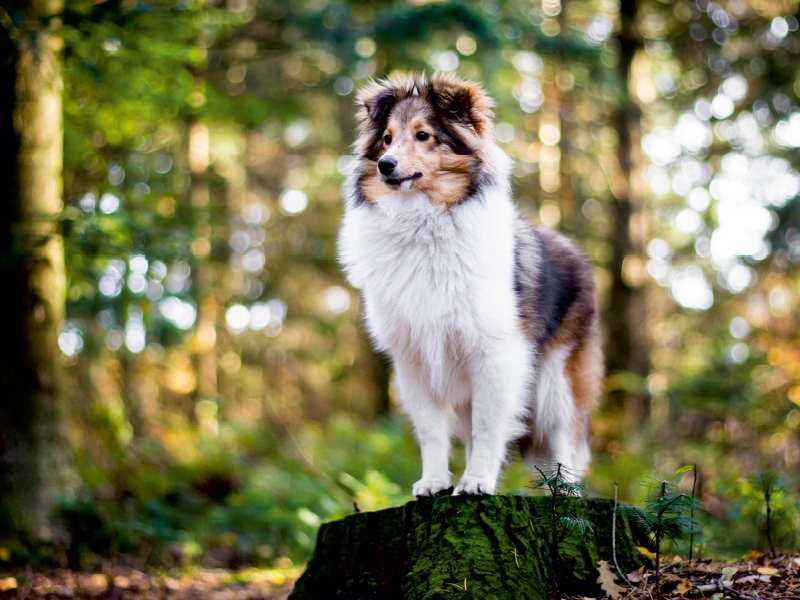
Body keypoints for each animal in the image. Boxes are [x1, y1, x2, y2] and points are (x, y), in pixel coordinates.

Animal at [336, 72, 600, 494]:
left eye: (424, 135)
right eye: (387, 138)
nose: (384, 165)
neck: (423, 224)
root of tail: (573, 248)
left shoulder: (496, 355)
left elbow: (490, 427)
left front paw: (477, 481)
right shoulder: (413, 360)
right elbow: (431, 431)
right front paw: (434, 481)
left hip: (557, 378)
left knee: (564, 435)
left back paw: (565, 491)